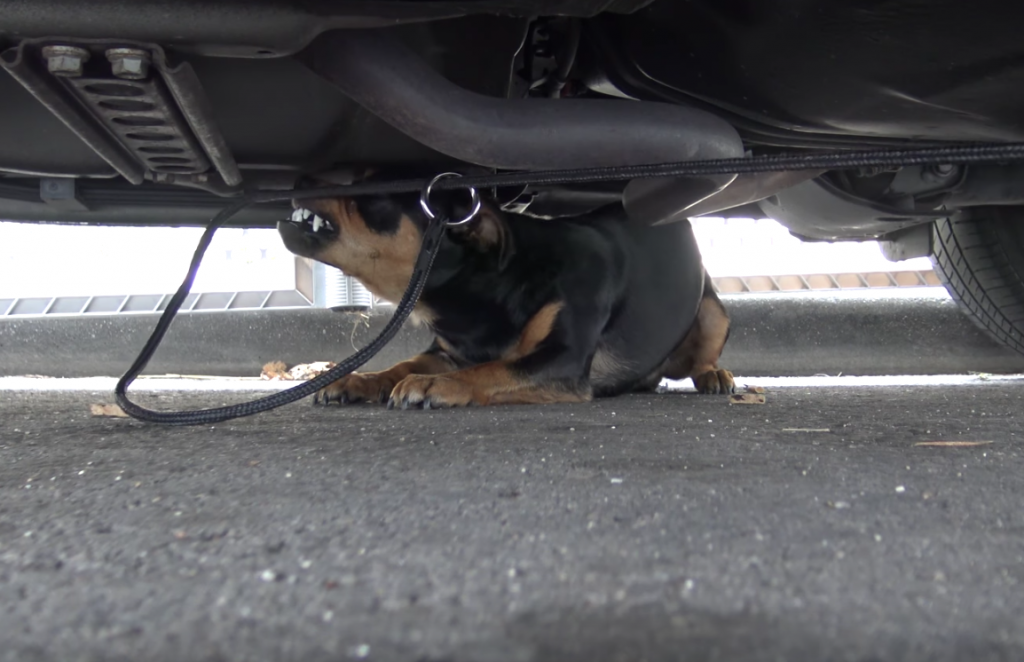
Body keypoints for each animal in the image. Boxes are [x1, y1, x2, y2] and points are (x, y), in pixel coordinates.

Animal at [276, 184, 733, 407]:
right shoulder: (447, 352)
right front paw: (361, 379)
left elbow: (492, 370)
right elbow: (403, 364)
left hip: (714, 314)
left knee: (702, 357)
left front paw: (435, 385)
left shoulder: (562, 360)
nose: (302, 182)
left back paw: (714, 376)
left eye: (370, 194)